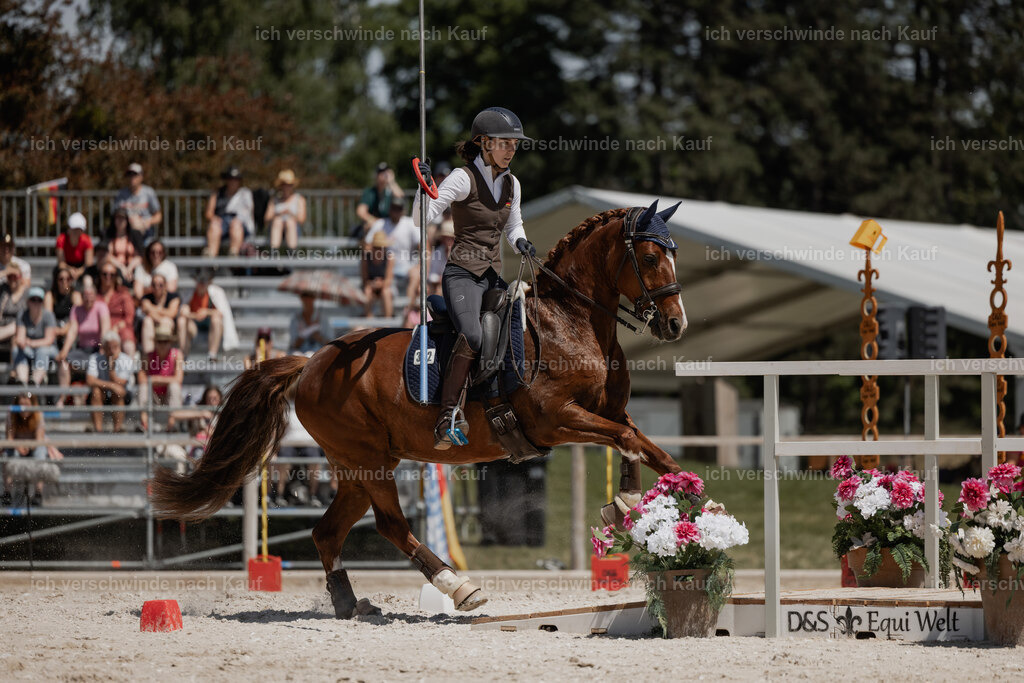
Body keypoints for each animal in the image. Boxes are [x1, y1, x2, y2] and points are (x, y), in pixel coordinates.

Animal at [151, 200, 688, 618]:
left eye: (673, 254)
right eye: (649, 255)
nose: (676, 324)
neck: (572, 322)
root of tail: (311, 362)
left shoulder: (608, 412)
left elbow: (646, 446)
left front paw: (647, 499)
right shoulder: (556, 419)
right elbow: (629, 440)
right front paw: (635, 503)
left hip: (358, 466)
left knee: (328, 532)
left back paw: (350, 604)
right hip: (368, 459)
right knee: (391, 526)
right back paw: (459, 587)